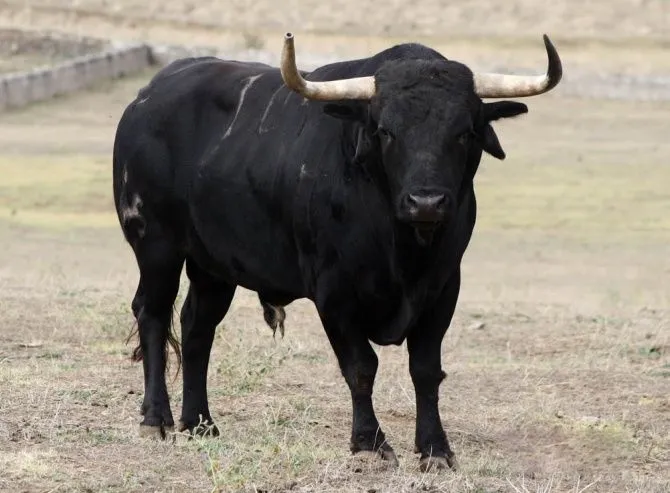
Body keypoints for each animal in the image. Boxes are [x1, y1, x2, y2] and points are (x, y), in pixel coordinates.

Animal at [111, 31, 560, 468]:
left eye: (464, 132)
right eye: (385, 131)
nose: (427, 202)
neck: (404, 252)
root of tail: (148, 96)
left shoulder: (444, 288)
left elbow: (426, 370)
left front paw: (435, 449)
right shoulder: (335, 293)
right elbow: (361, 367)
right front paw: (370, 445)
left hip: (213, 266)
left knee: (196, 327)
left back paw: (201, 423)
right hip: (157, 247)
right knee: (153, 315)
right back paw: (157, 420)